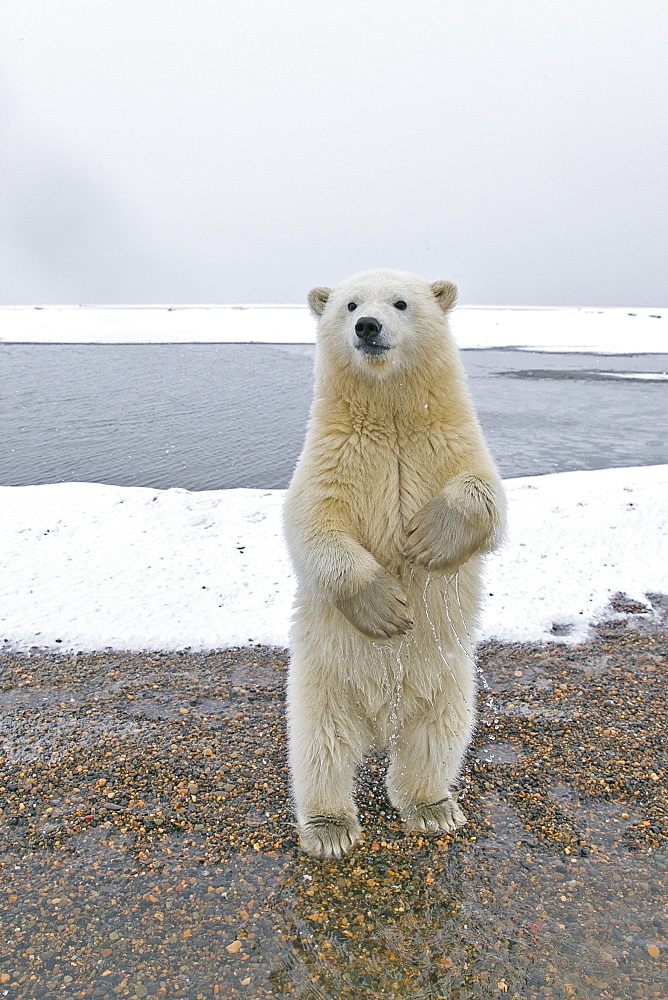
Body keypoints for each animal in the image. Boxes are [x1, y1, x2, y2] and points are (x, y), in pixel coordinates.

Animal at [284, 268, 506, 860]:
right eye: (349, 304)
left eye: (402, 303)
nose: (367, 325)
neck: (391, 414)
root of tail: (381, 722)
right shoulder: (333, 456)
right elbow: (313, 526)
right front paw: (385, 607)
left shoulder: (450, 442)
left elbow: (487, 497)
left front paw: (427, 539)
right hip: (325, 678)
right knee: (321, 747)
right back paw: (330, 827)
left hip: (449, 681)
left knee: (435, 740)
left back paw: (433, 807)